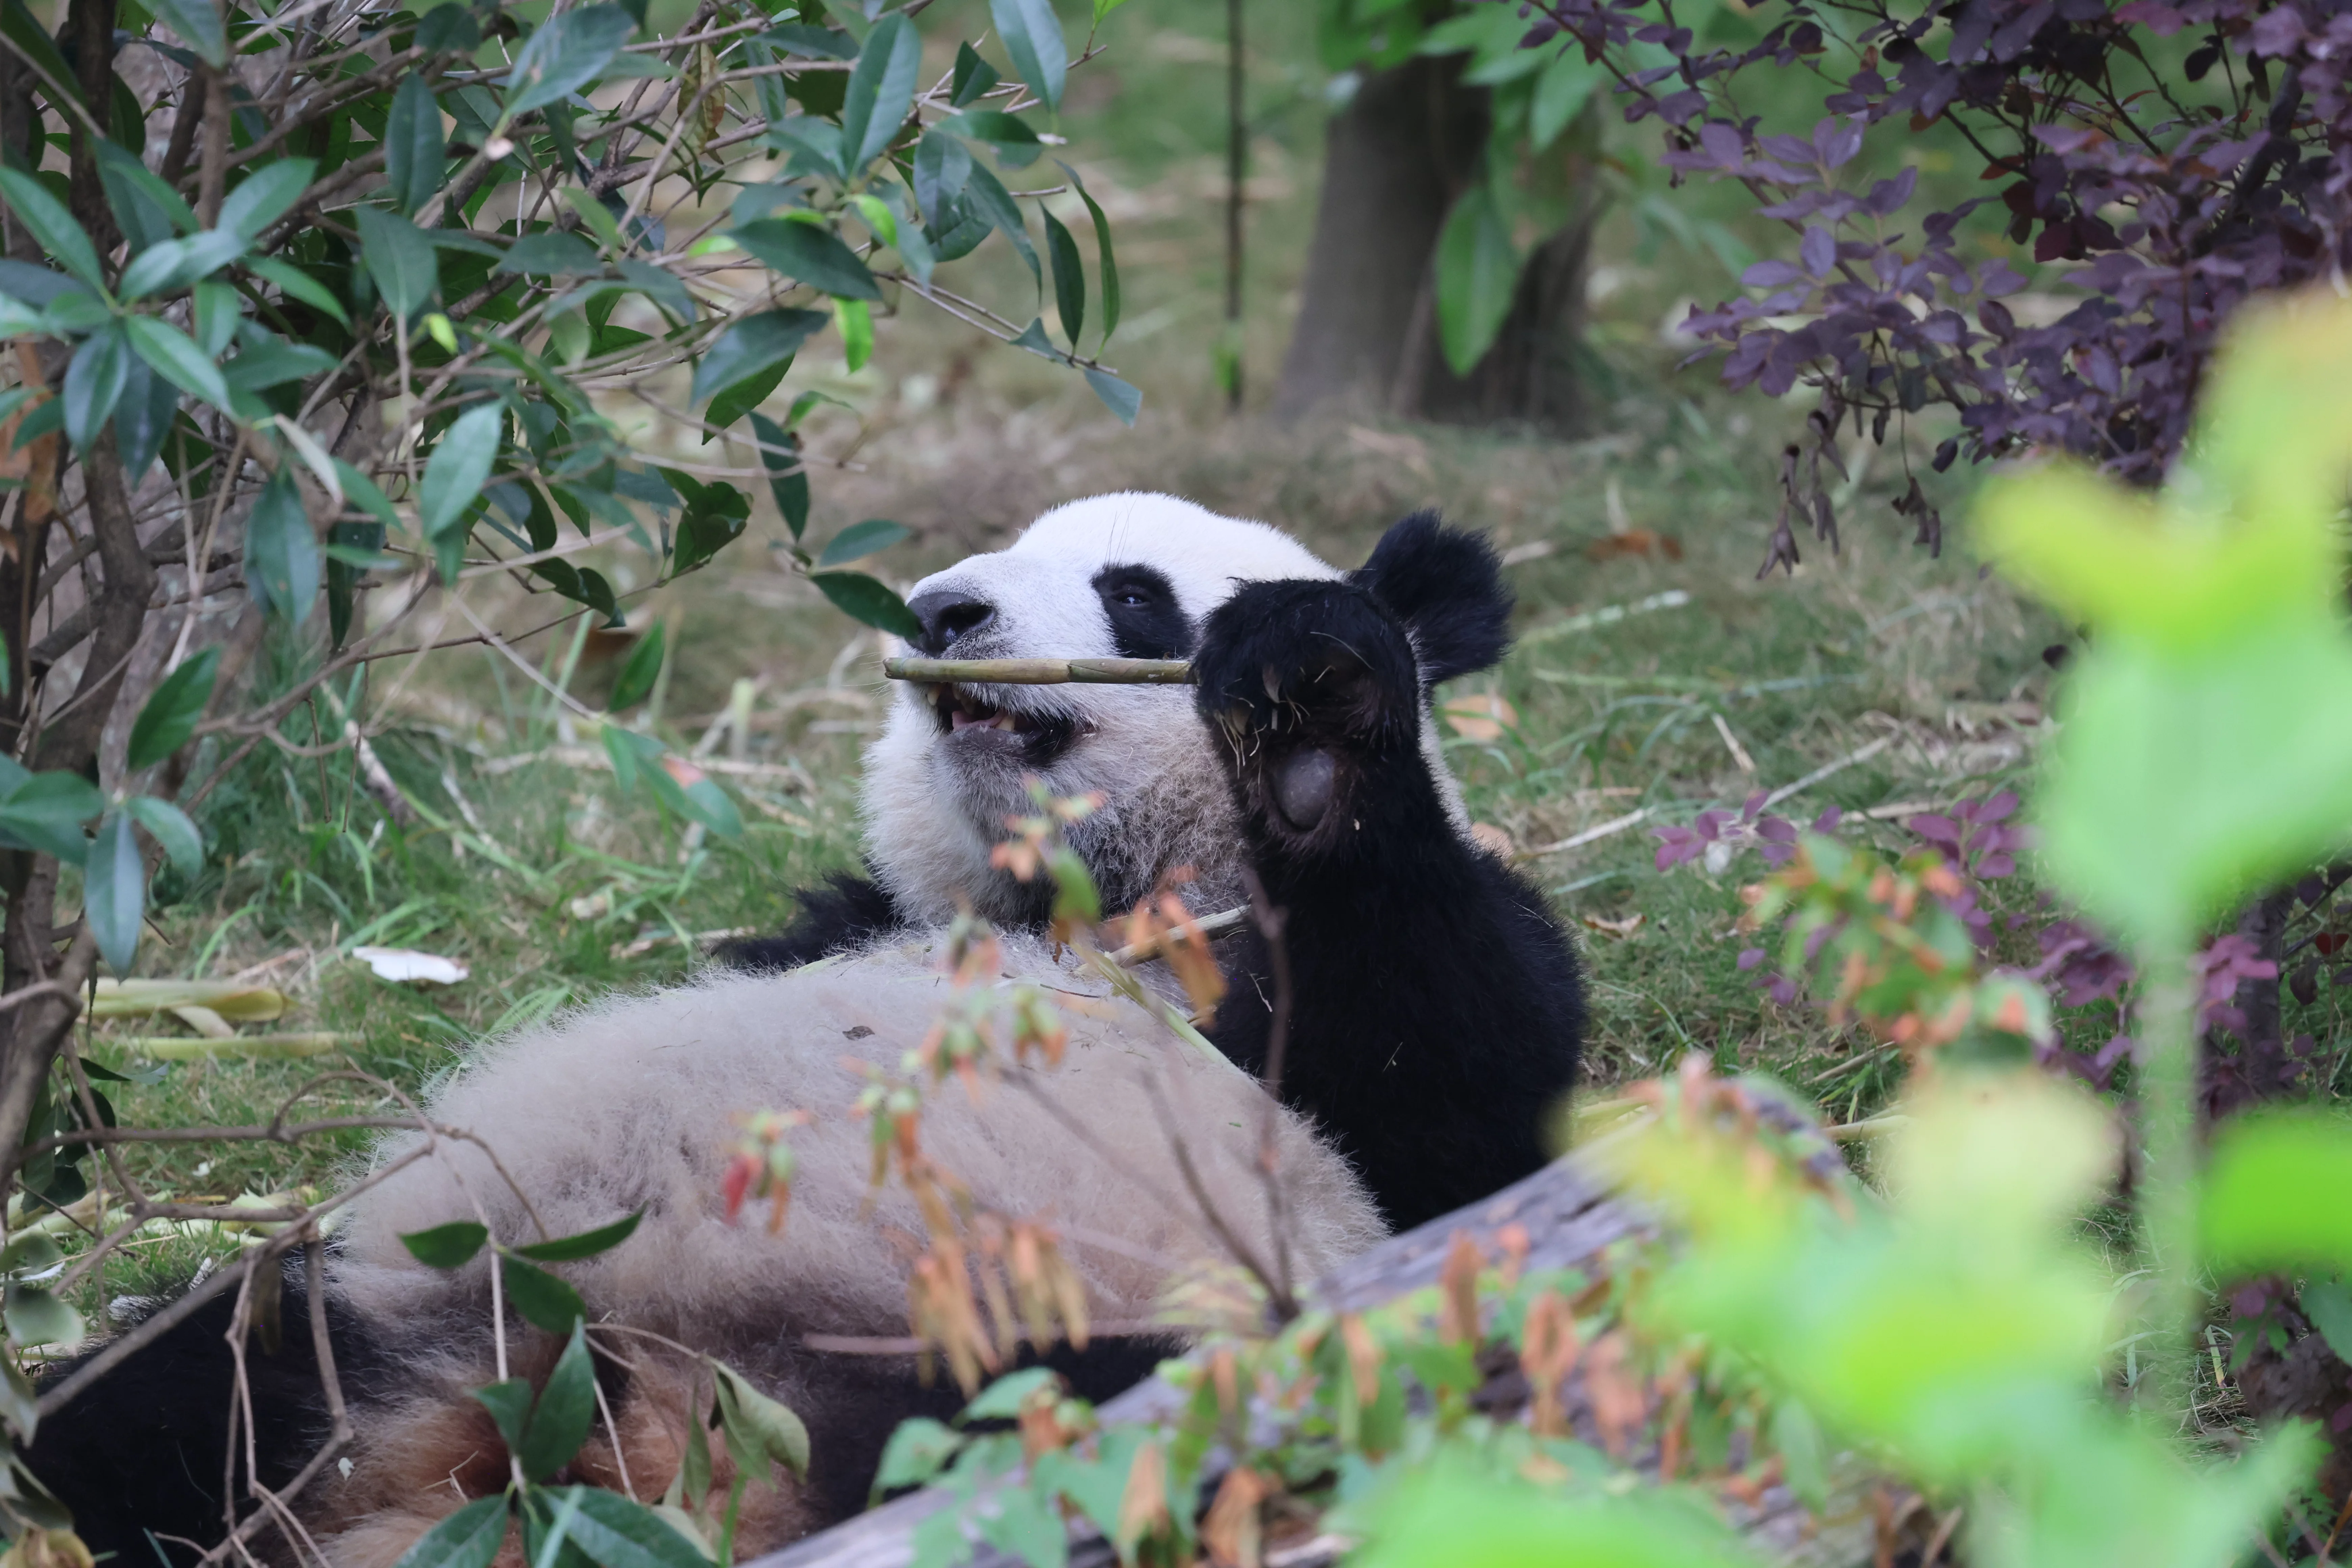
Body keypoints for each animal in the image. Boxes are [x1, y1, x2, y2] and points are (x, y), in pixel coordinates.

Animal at [28, 494, 1584, 1566]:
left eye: (1133, 591)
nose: (943, 609)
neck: (1087, 896)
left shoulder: (1326, 1020)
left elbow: (1455, 1096)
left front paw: (1312, 721)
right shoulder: (849, 919)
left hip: (1022, 1337)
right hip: (424, 1313)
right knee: (158, 1398)